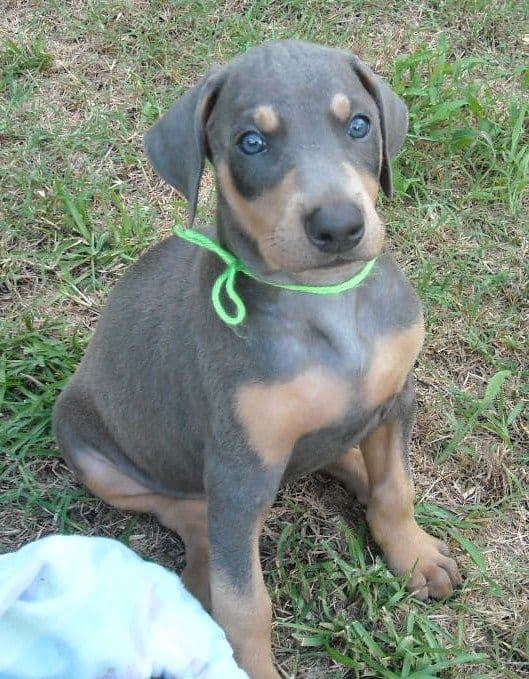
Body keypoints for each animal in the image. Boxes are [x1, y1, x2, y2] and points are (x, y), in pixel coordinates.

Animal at [51, 39, 460, 676]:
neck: (327, 302)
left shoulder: (397, 397)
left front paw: (414, 556)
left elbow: (397, 489)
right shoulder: (239, 468)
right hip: (90, 449)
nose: (339, 226)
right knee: (190, 516)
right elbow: (244, 602)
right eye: (251, 142)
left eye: (359, 125)